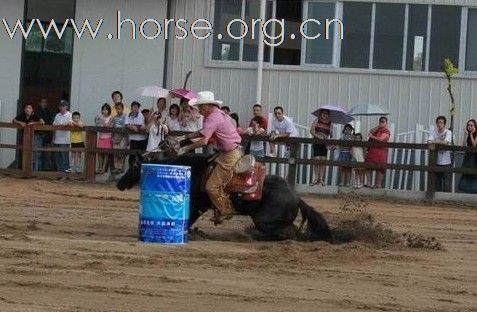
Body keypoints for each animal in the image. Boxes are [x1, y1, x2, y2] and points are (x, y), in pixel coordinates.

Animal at [117, 152, 330, 240]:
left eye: (134, 167)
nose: (120, 184)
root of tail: (296, 197)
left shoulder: (196, 206)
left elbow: (189, 218)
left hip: (264, 221)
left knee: (288, 233)